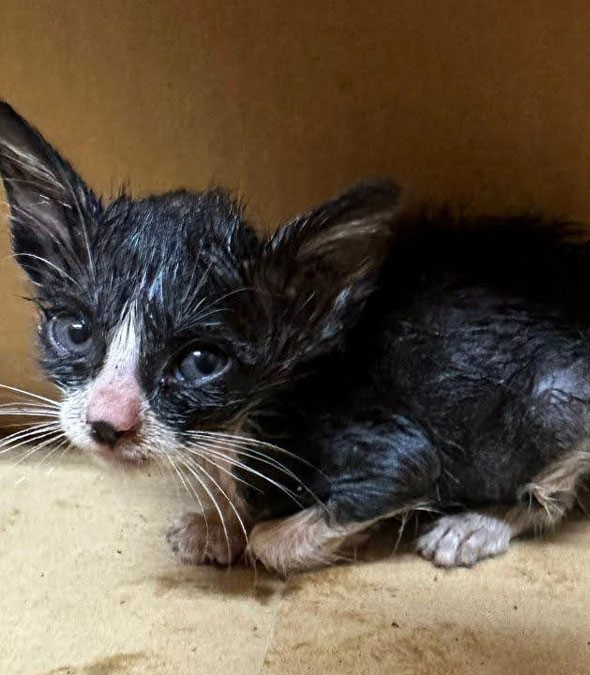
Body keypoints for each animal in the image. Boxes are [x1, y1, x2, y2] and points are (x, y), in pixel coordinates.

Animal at [1, 100, 589, 575]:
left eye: (202, 361)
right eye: (75, 331)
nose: (107, 423)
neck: (246, 422)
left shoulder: (401, 456)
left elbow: (284, 538)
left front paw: (265, 531)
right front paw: (223, 524)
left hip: (555, 398)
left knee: (553, 490)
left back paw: (476, 525)